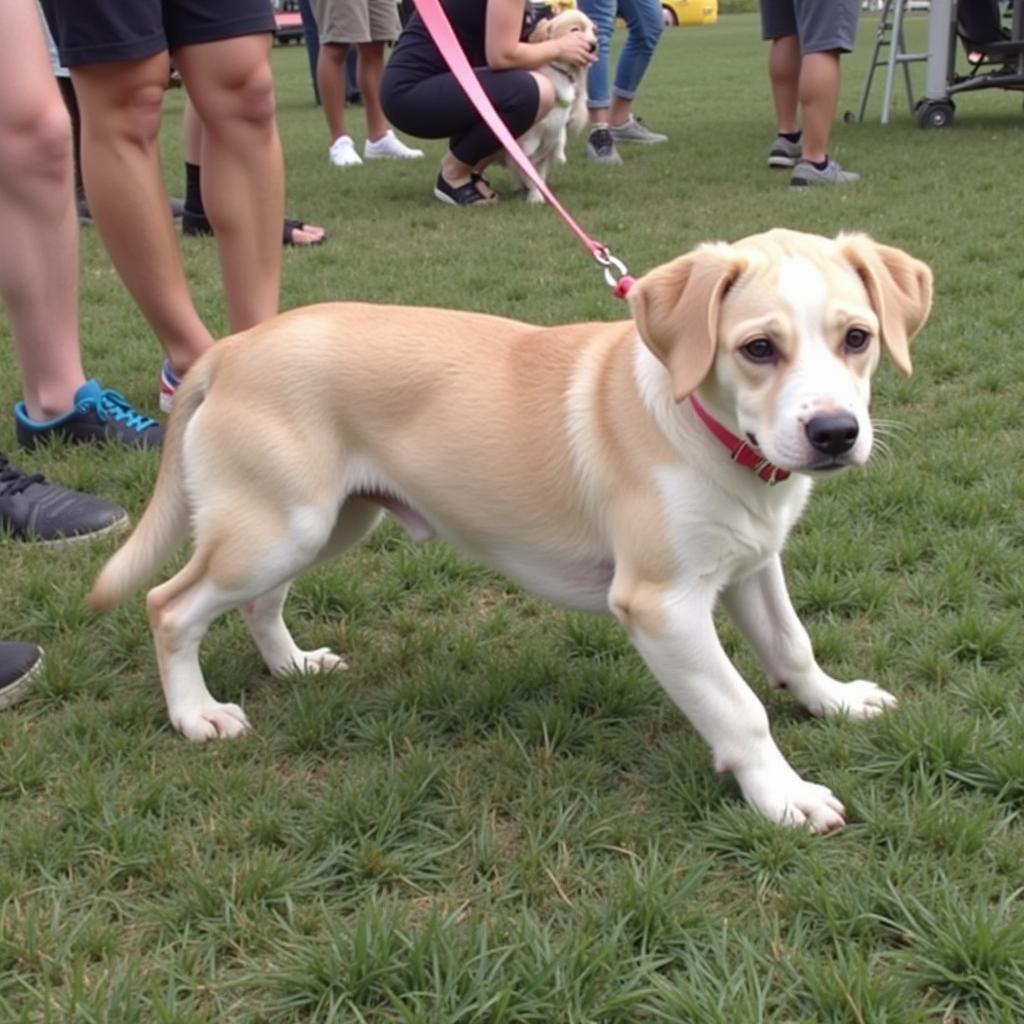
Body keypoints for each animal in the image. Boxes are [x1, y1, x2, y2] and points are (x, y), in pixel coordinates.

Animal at [92, 230, 933, 831]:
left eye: (858, 338)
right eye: (759, 349)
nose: (835, 433)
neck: (706, 429)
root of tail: (228, 350)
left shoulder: (753, 564)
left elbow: (792, 645)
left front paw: (834, 701)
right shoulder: (662, 605)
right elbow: (739, 709)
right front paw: (784, 797)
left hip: (323, 521)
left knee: (260, 602)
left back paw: (292, 665)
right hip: (274, 530)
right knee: (170, 606)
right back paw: (196, 714)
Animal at [501, 7, 593, 201]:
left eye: (592, 31)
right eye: (575, 30)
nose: (594, 45)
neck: (560, 74)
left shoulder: (557, 132)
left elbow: (558, 141)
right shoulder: (530, 135)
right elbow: (529, 153)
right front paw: (534, 196)